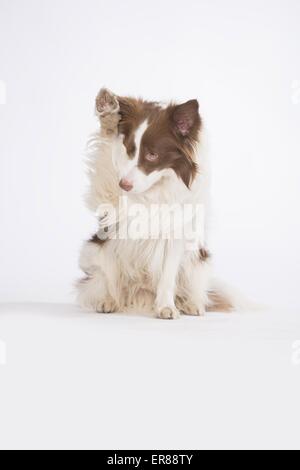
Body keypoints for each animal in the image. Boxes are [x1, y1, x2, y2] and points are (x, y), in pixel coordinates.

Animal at [77, 88, 237, 320]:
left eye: (152, 155)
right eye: (130, 149)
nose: (124, 185)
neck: (155, 189)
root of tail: (141, 293)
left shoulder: (176, 233)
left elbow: (168, 276)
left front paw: (166, 307)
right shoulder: (111, 201)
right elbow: (107, 159)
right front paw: (108, 114)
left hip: (198, 259)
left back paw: (191, 304)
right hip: (95, 250)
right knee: (104, 281)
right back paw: (108, 300)